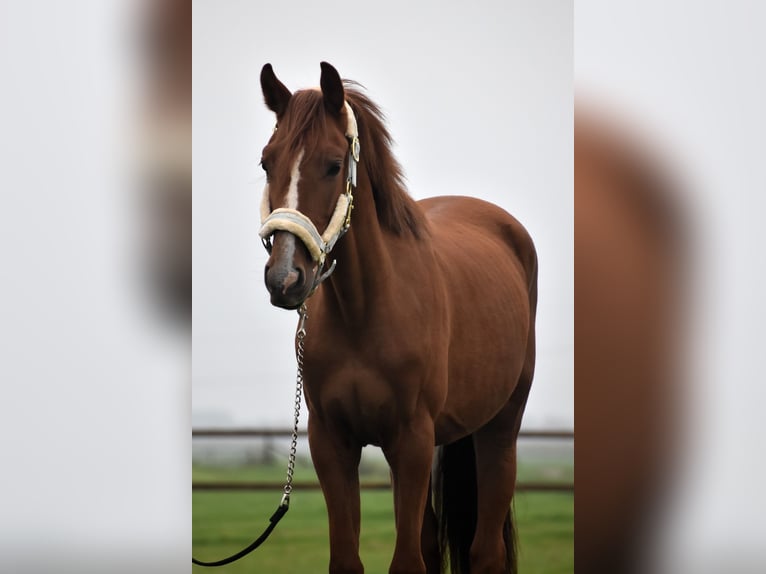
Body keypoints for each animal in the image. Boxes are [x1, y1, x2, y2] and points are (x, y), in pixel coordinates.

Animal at [260, 63, 536, 574]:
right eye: (266, 162)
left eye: (333, 164)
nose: (284, 278)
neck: (365, 312)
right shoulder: (332, 443)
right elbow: (350, 559)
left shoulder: (409, 442)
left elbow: (408, 562)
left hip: (499, 430)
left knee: (486, 551)